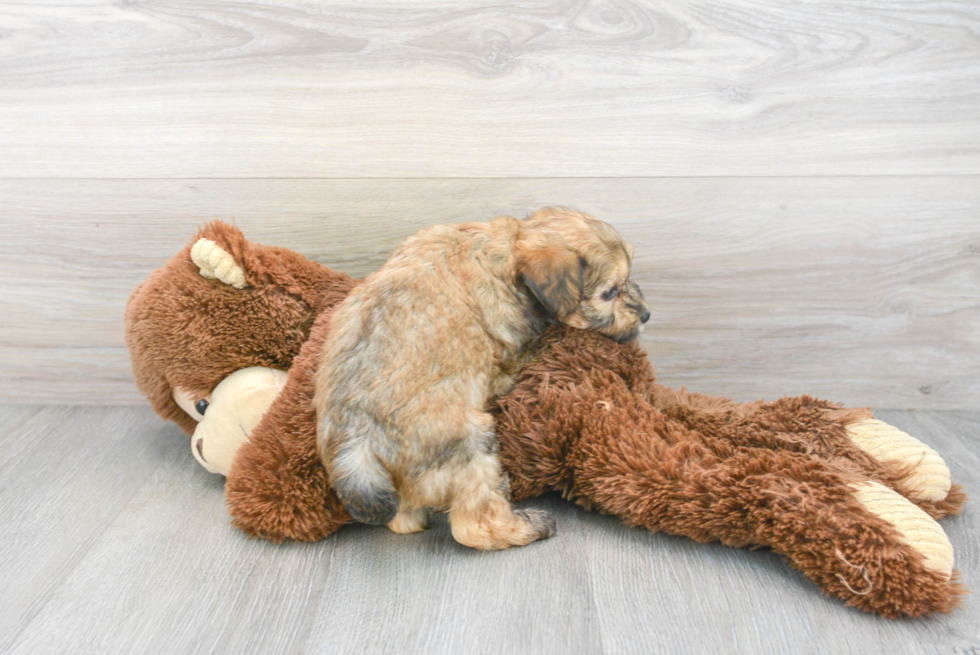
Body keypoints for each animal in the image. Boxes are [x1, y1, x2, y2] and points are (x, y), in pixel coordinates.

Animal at [316, 209, 652, 548]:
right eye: (609, 293)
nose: (646, 315)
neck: (505, 251)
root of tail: (361, 441)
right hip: (472, 445)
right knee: (475, 523)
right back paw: (527, 526)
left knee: (405, 518)